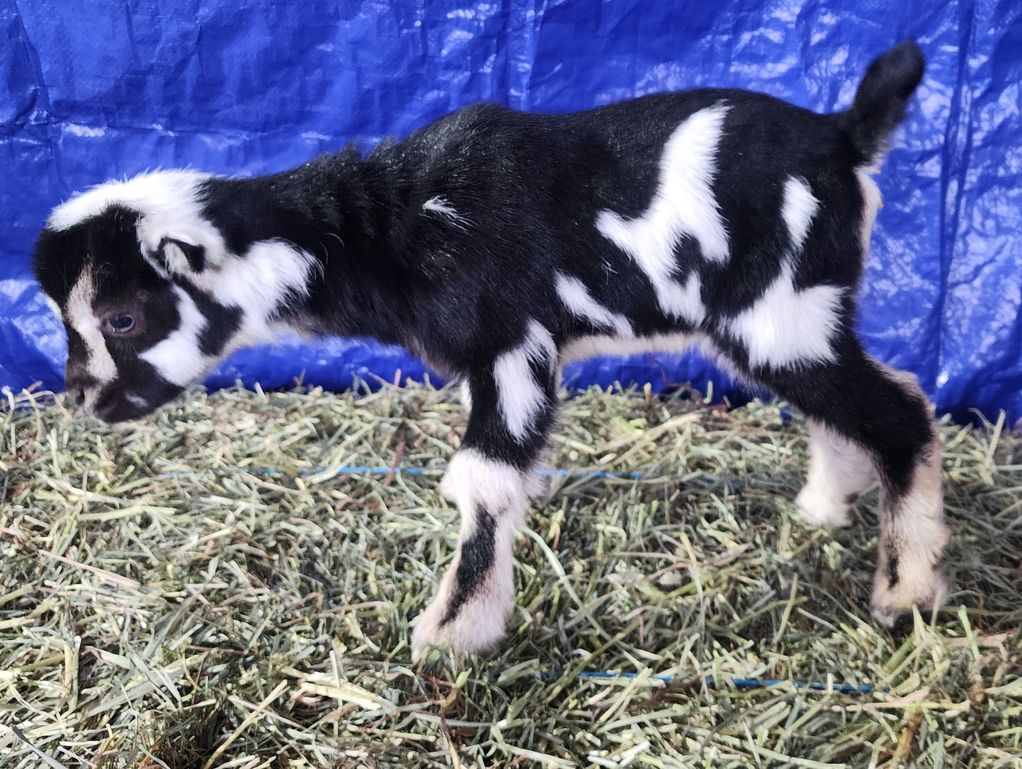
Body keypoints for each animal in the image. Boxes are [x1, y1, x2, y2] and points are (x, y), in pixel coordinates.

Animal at [33, 42, 948, 657]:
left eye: (121, 318)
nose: (82, 395)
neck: (393, 223)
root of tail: (843, 136)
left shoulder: (512, 343)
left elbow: (482, 484)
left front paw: (450, 632)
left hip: (780, 312)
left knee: (899, 409)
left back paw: (906, 592)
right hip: (794, 320)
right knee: (847, 403)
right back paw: (826, 506)